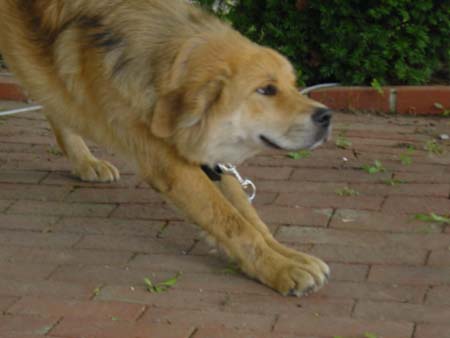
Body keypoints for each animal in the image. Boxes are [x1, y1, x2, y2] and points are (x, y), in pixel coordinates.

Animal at [0, 0, 330, 296]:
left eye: (293, 85)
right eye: (266, 90)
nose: (327, 116)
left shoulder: (208, 160)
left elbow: (249, 217)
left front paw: (287, 255)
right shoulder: (169, 165)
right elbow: (232, 221)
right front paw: (279, 268)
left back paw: (84, 162)